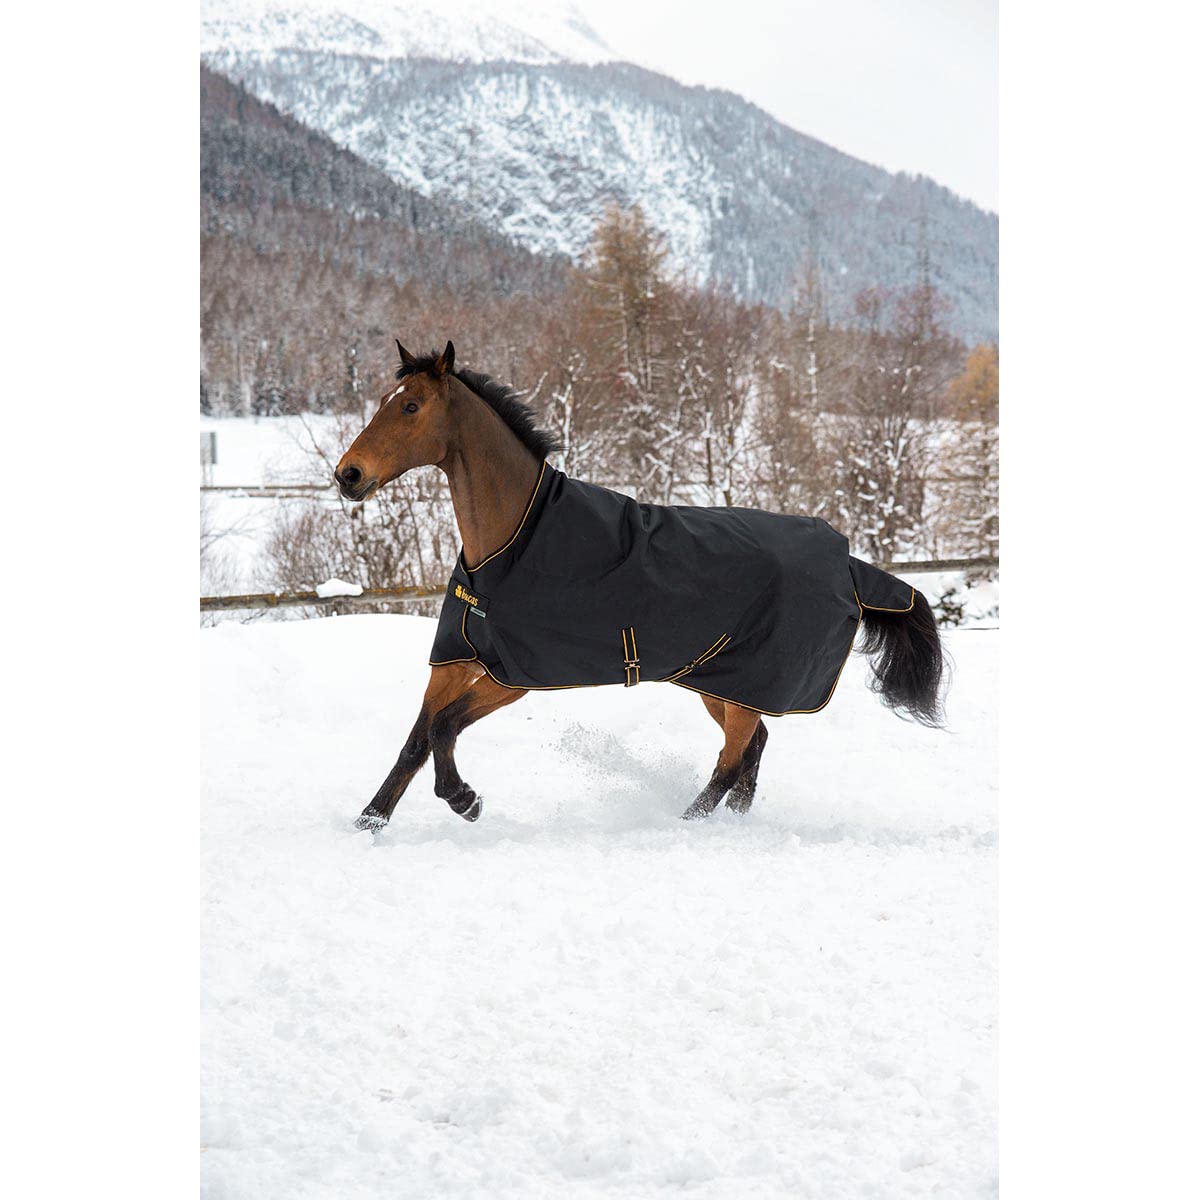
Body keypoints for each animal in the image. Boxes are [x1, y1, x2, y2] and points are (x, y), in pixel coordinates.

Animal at [334, 339, 945, 830]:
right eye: (386, 400)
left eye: (411, 406)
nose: (348, 475)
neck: (514, 540)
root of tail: (849, 565)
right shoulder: (456, 659)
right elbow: (417, 740)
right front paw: (370, 822)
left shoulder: (515, 675)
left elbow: (443, 728)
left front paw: (465, 800)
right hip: (719, 683)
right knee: (750, 751)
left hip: (743, 684)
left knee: (732, 760)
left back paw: (684, 823)